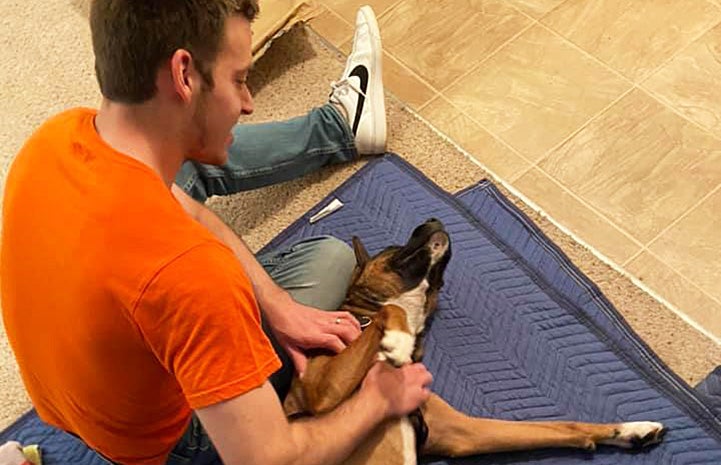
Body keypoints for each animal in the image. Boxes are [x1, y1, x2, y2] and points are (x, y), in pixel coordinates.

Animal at [282, 219, 664, 464]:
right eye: (393, 248)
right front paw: (397, 340)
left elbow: (561, 426)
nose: (433, 217)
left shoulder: (461, 433)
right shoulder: (322, 391)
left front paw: (629, 431)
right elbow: (391, 308)